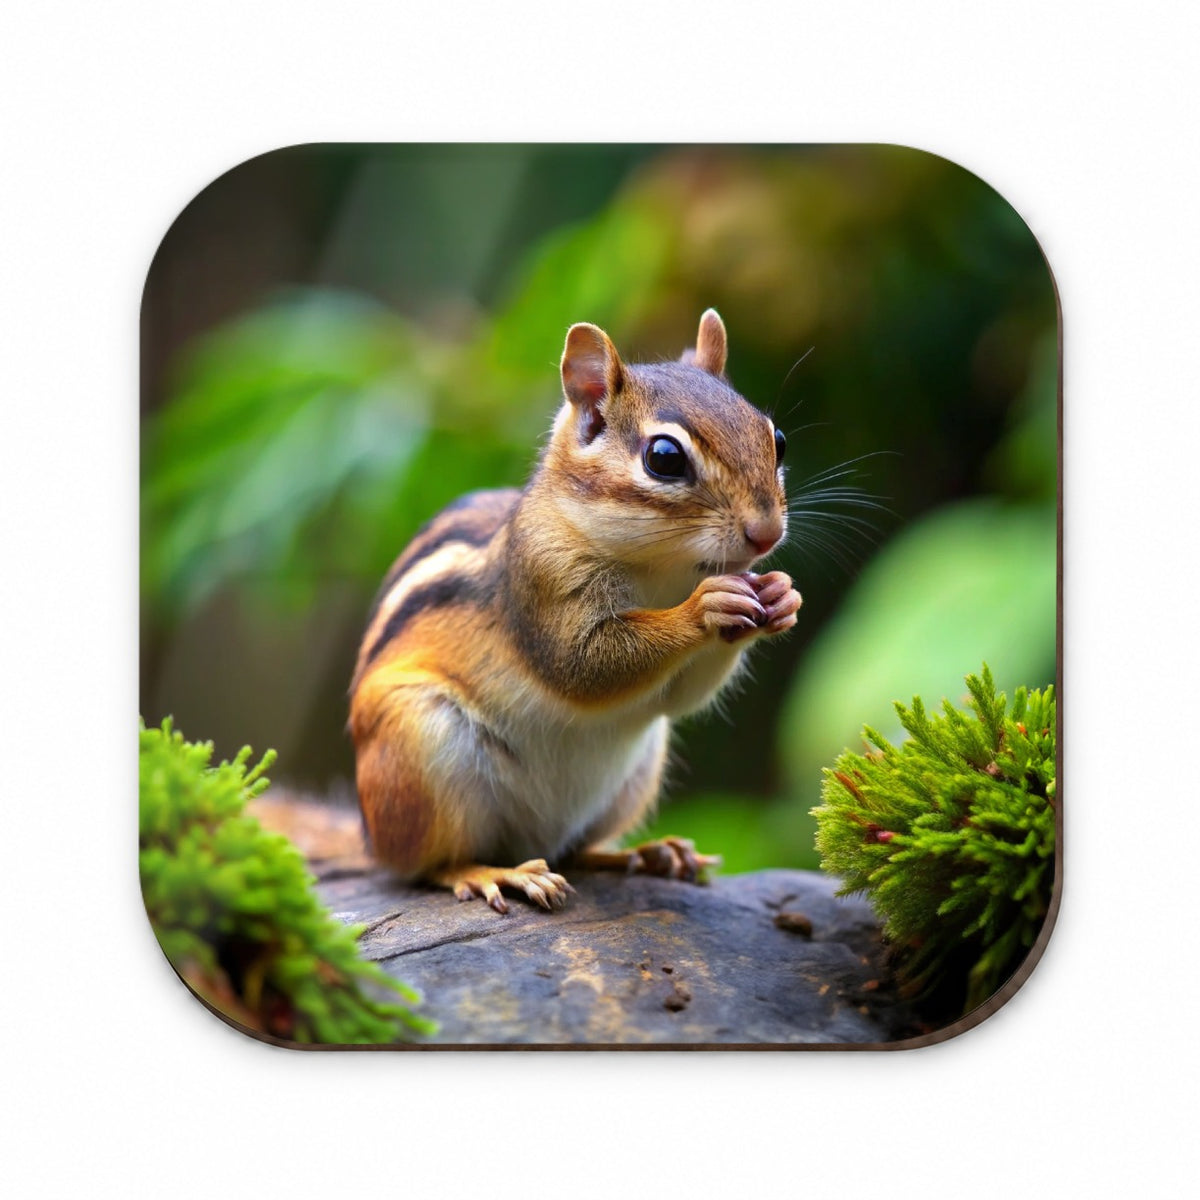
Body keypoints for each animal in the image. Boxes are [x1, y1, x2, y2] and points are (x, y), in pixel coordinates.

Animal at [348, 309, 802, 913]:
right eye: (664, 458)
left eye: (777, 440)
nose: (767, 533)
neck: (663, 570)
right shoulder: (541, 584)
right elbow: (583, 664)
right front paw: (705, 608)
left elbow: (680, 696)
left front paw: (782, 595)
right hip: (419, 748)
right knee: (428, 866)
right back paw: (495, 873)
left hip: (637, 773)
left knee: (575, 850)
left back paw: (647, 853)